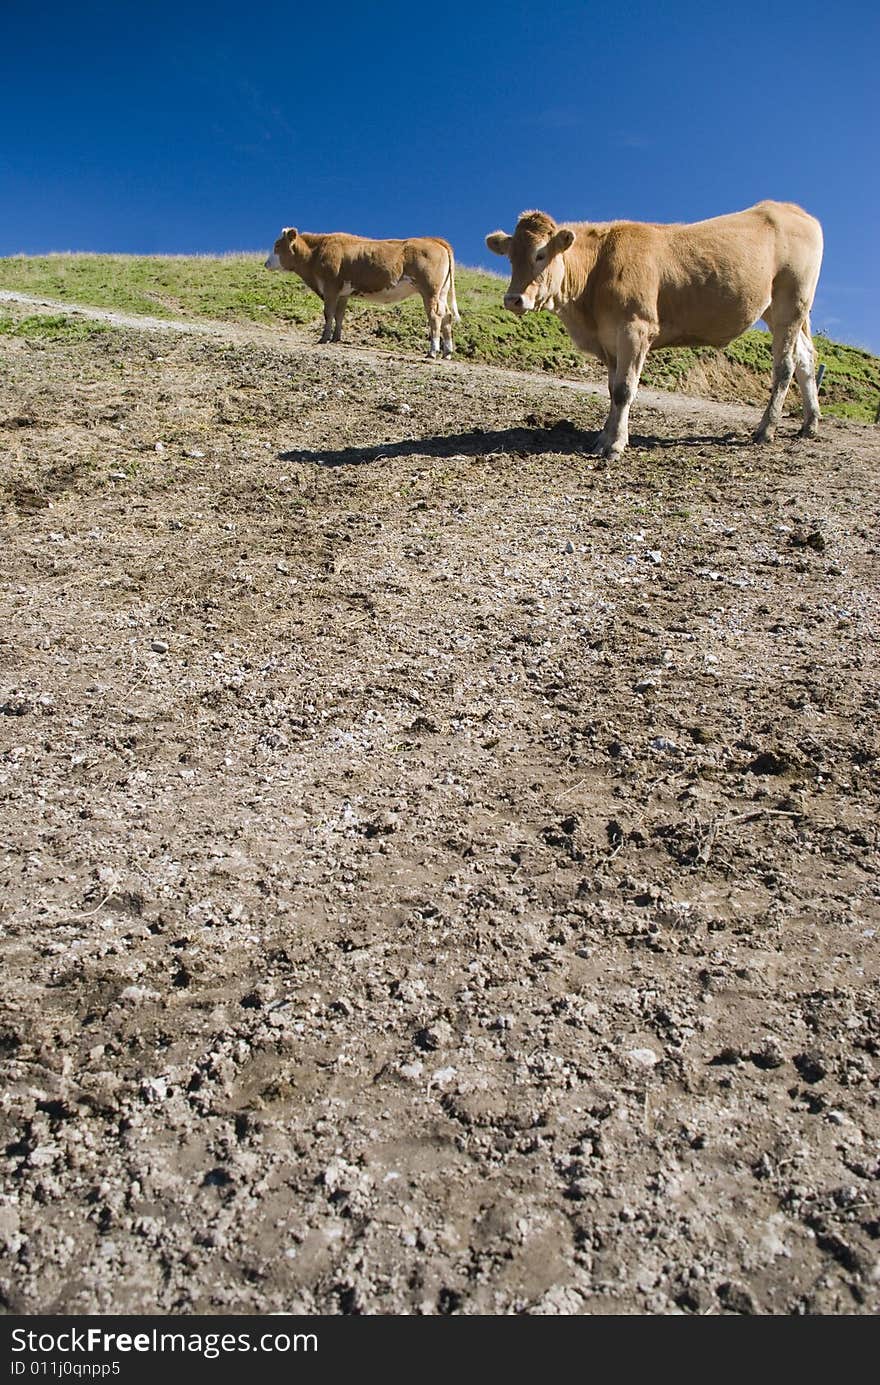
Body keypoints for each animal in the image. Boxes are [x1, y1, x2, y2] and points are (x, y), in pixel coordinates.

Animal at [264, 228, 460, 360]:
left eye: (277, 245)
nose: (266, 263)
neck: (316, 253)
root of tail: (434, 240)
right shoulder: (343, 293)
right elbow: (339, 315)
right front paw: (336, 338)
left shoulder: (330, 288)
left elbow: (328, 313)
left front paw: (323, 338)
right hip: (441, 292)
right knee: (447, 316)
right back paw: (447, 352)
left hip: (430, 290)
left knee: (435, 316)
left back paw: (432, 351)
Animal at [487, 202, 825, 459]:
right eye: (510, 257)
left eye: (540, 254)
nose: (513, 299)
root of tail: (789, 208)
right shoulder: (609, 340)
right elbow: (612, 390)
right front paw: (604, 437)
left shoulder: (636, 329)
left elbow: (624, 390)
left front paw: (614, 445)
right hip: (779, 311)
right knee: (806, 359)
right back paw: (809, 424)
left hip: (791, 303)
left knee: (785, 367)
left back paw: (766, 429)